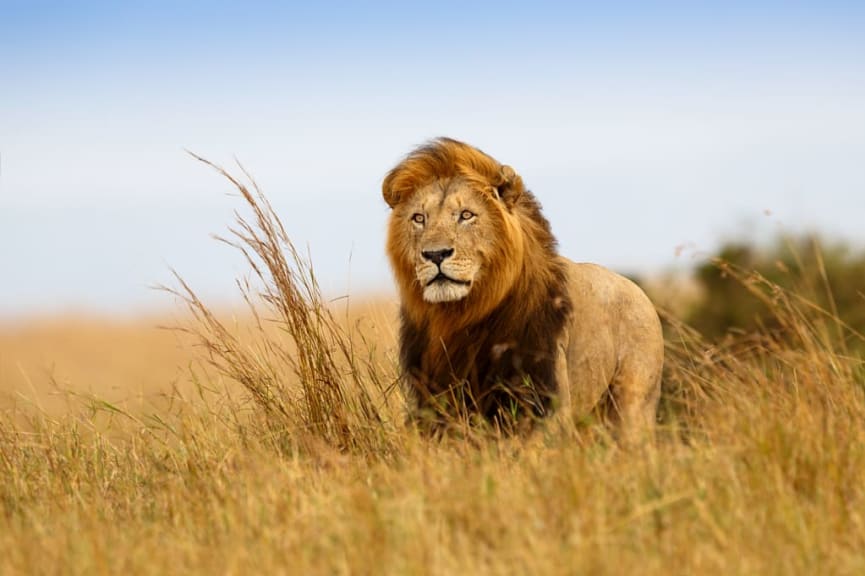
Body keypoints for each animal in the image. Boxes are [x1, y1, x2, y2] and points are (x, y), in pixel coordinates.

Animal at [382, 137, 664, 444]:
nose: (435, 254)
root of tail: (640, 292)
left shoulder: (544, 399)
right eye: (419, 218)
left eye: (466, 215)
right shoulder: (433, 399)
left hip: (632, 405)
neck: (460, 316)